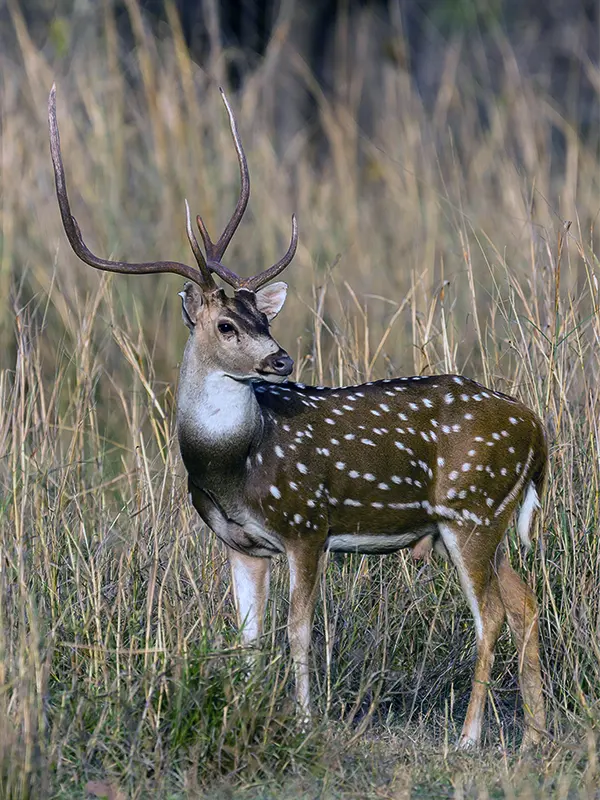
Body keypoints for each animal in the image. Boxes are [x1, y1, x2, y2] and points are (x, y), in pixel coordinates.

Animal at [48, 84, 547, 750]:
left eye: (264, 317)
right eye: (227, 324)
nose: (281, 360)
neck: (234, 466)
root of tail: (537, 430)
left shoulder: (307, 523)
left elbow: (300, 630)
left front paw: (308, 721)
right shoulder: (240, 544)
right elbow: (248, 638)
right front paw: (246, 707)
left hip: (471, 509)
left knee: (490, 612)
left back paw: (469, 737)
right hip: (478, 522)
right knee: (524, 603)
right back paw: (536, 733)